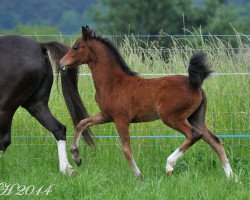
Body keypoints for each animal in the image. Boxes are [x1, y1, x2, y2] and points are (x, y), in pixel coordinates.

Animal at [0, 35, 93, 175]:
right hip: (36, 105)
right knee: (58, 128)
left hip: (6, 106)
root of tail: (39, 46)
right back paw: (66, 169)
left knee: (4, 140)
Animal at [59, 26, 233, 178]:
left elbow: (126, 149)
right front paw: (76, 156)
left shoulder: (121, 120)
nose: (61, 63)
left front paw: (139, 175)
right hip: (196, 117)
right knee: (215, 142)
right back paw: (232, 178)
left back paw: (169, 165)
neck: (114, 82)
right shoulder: (106, 115)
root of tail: (195, 83)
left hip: (172, 117)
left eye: (76, 47)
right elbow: (82, 123)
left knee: (194, 134)